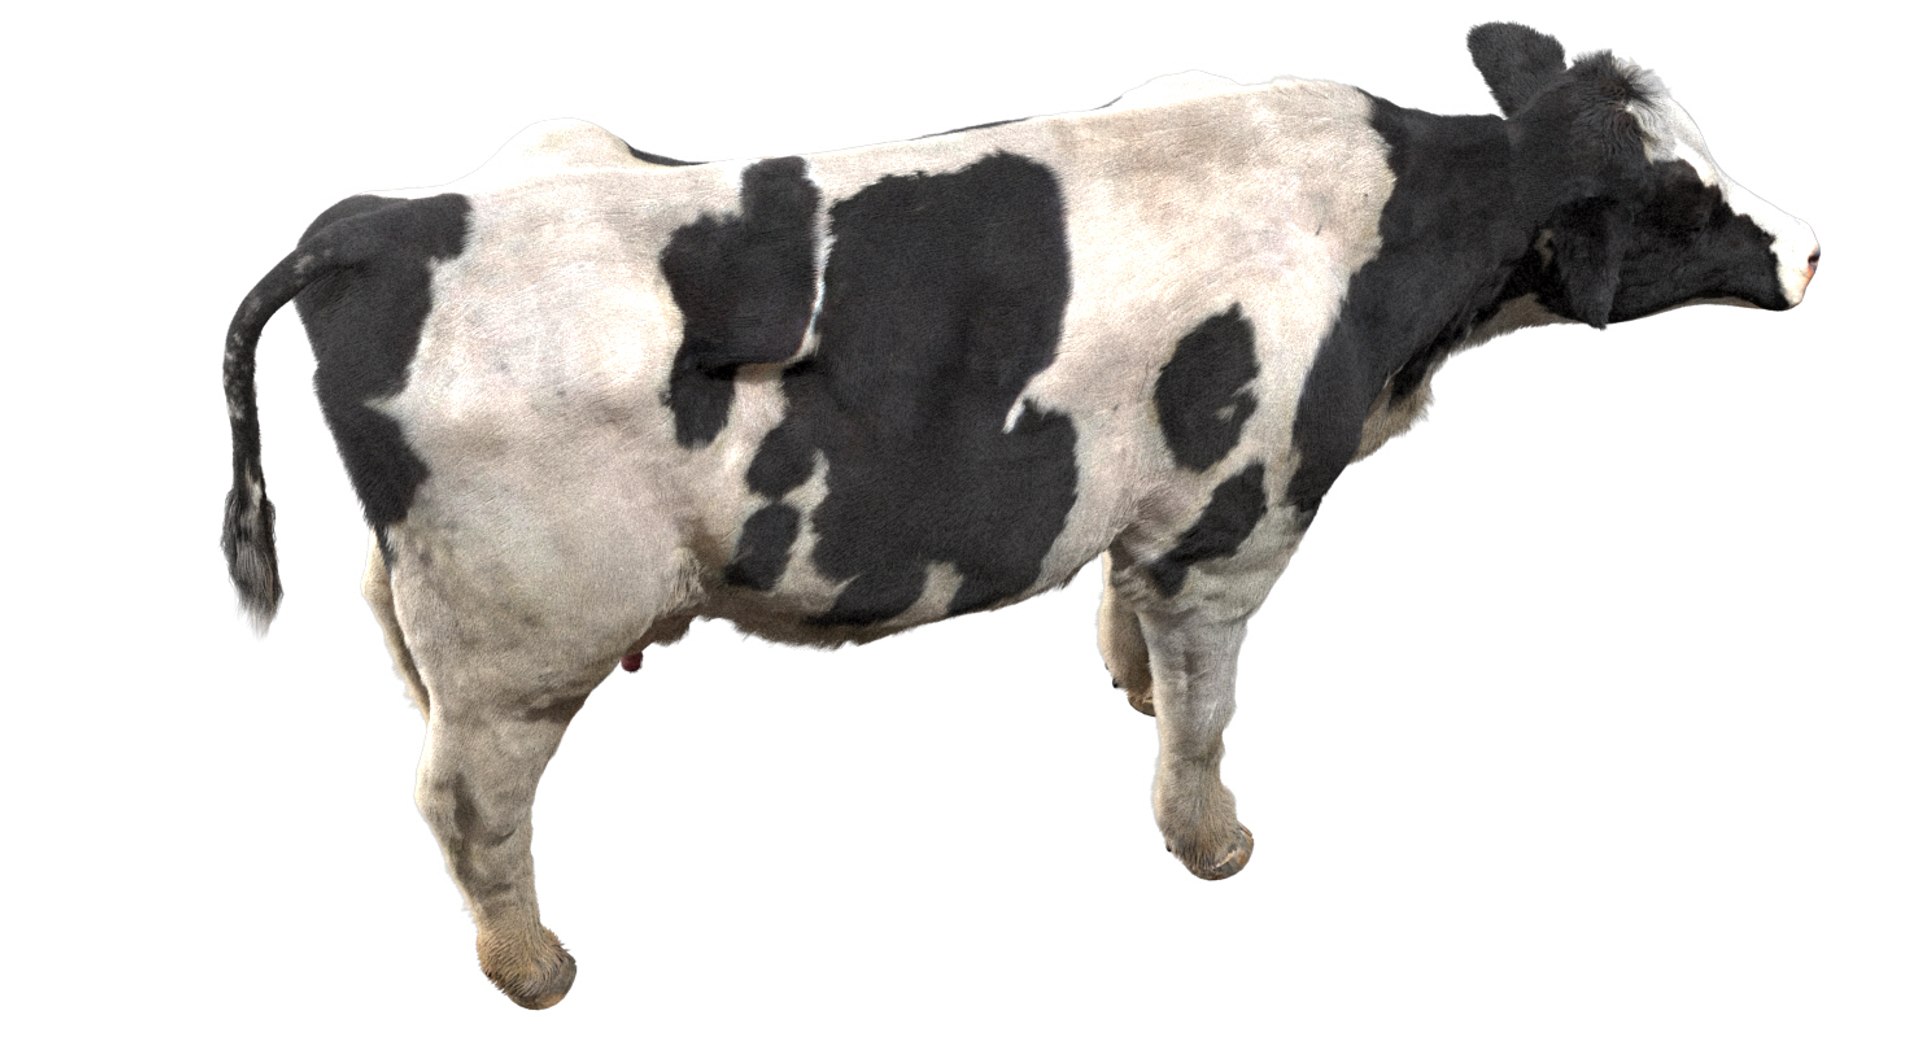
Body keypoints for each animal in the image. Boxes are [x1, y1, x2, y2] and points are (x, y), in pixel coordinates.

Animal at [222, 24, 1817, 1008]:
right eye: (1683, 202)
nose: (1810, 245)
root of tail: (376, 222)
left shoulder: (1160, 502)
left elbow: (1131, 619)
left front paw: (1125, 680)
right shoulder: (1243, 517)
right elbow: (1210, 709)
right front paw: (1211, 840)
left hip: (438, 594)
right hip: (529, 636)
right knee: (466, 797)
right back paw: (535, 966)